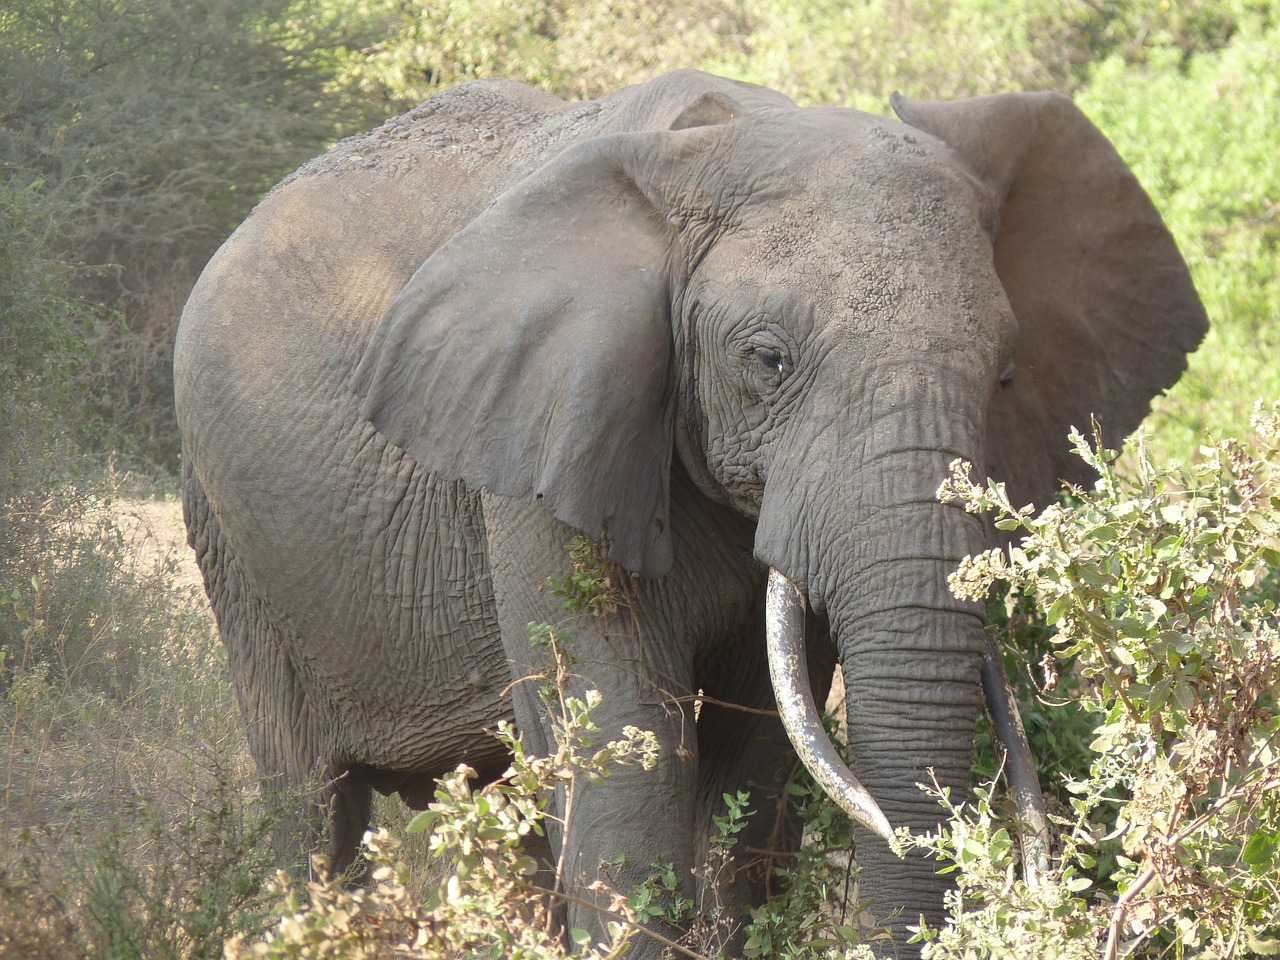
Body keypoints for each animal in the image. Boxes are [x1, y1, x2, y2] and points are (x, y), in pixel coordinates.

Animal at [175, 71, 1203, 957]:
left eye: (1005, 375)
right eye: (767, 360)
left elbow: (757, 746)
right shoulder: (544, 440)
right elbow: (624, 748)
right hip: (231, 543)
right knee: (313, 813)